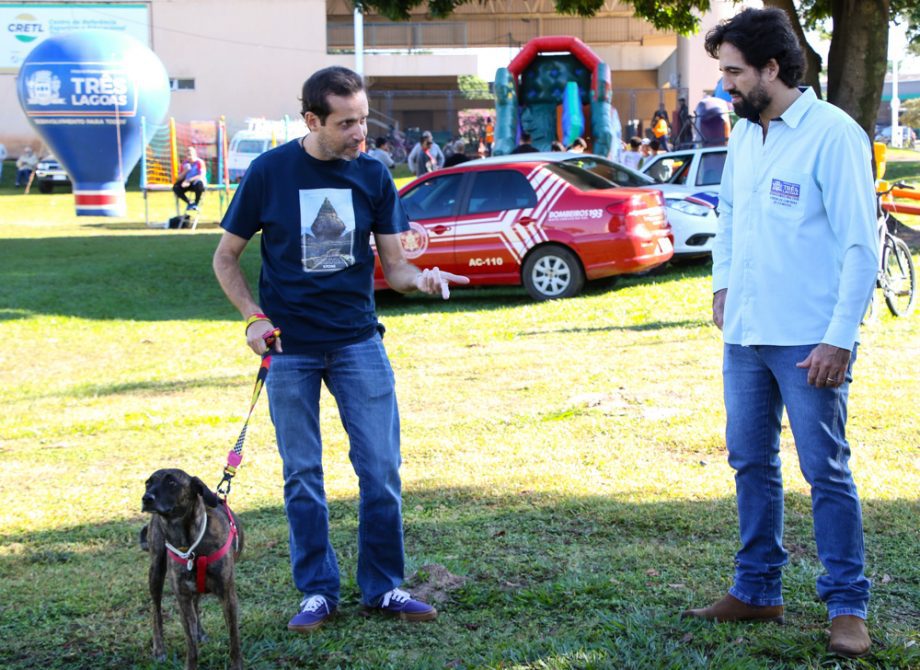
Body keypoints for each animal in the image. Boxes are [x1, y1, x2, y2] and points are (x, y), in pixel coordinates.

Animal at [140, 472, 244, 670]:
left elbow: (234, 639)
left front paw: (236, 665)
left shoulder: (228, 596)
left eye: (172, 482)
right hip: (155, 571)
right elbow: (191, 646)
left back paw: (200, 632)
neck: (189, 543)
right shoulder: (183, 598)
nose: (146, 498)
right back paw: (159, 648)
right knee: (156, 610)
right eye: (148, 483)